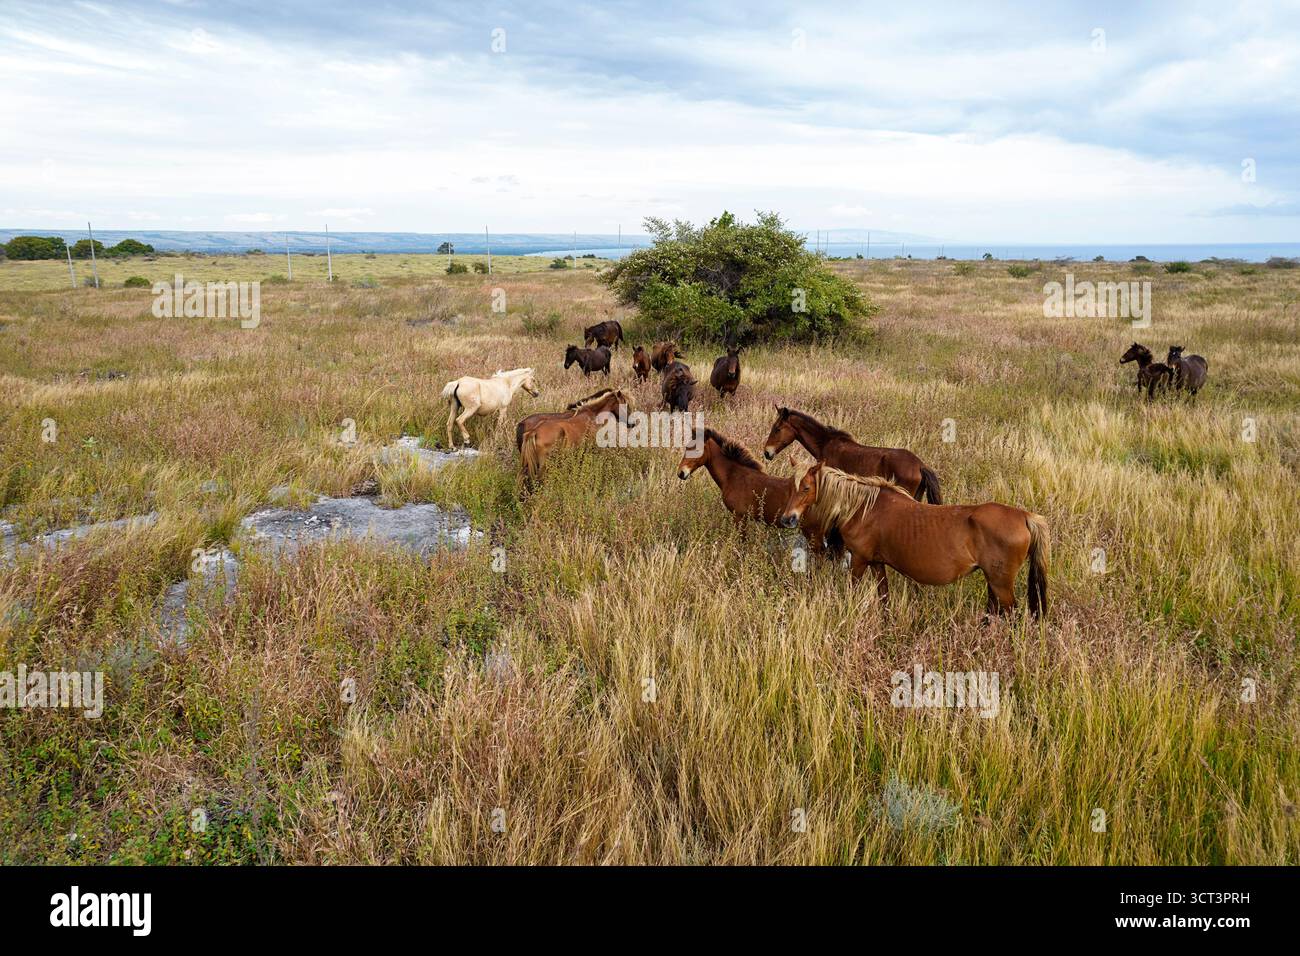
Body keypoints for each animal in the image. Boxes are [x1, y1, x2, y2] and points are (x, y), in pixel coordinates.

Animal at [778, 462, 1050, 618]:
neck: (864, 507)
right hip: (992, 580)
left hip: (1001, 584)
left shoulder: (859, 561)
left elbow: (853, 591)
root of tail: (1025, 517)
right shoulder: (877, 563)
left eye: (805, 488)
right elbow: (884, 598)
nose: (787, 519)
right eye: (790, 487)